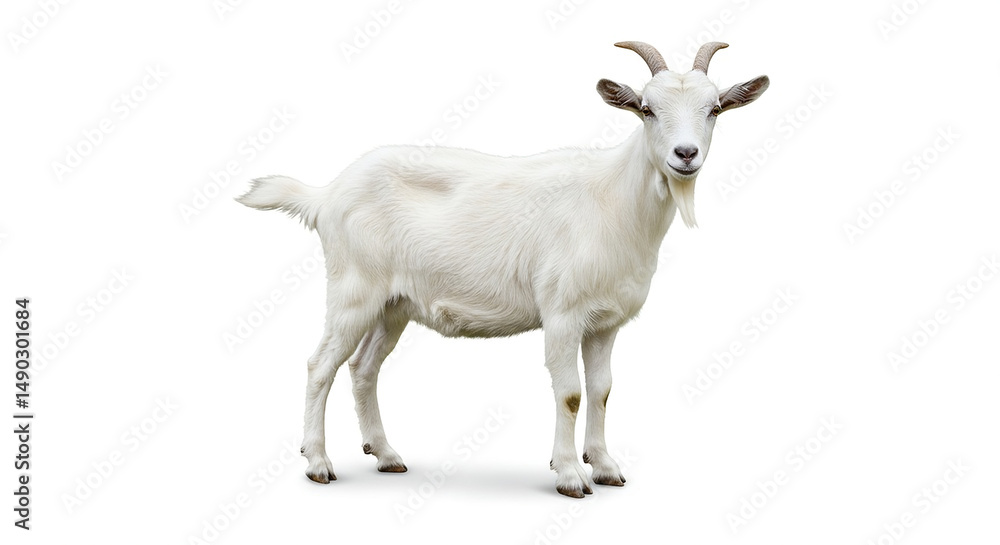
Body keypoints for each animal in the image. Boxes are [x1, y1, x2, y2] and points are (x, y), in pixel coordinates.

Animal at [238, 41, 768, 498]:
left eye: (714, 109)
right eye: (646, 108)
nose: (685, 155)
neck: (614, 201)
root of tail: (326, 195)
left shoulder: (606, 321)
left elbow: (601, 390)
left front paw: (605, 466)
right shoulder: (562, 312)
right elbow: (570, 393)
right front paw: (570, 475)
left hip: (393, 303)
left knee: (363, 367)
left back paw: (386, 454)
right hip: (354, 288)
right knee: (320, 365)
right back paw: (317, 462)